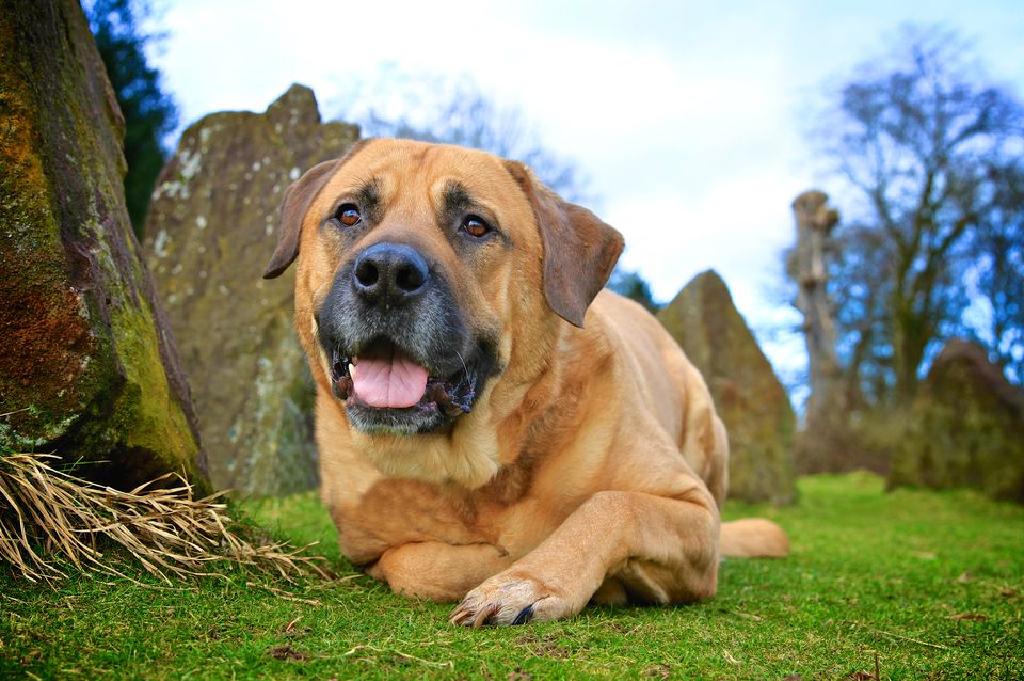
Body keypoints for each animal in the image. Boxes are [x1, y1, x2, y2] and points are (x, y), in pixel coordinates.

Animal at [262, 138, 782, 626]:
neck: (472, 468)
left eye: (475, 225)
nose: (387, 274)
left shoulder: (696, 512)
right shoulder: (365, 544)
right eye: (349, 213)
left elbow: (613, 506)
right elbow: (416, 563)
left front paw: (530, 581)